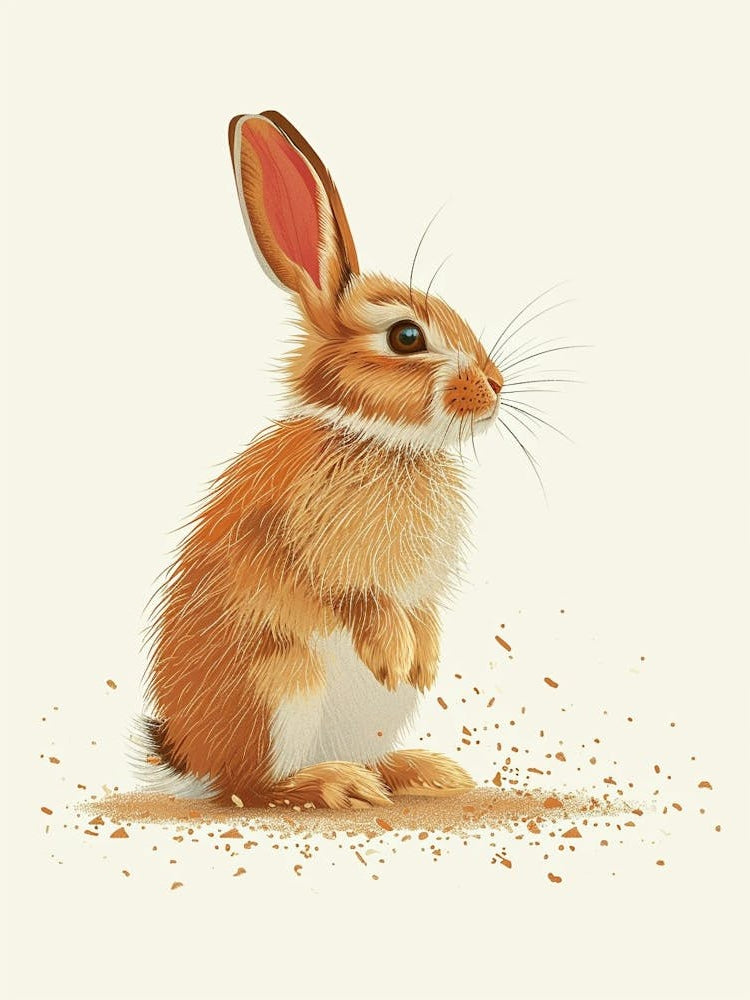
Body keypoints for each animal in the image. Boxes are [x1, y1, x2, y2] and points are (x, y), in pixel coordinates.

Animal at [139, 110, 504, 808]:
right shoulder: (322, 556)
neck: (383, 440)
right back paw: (332, 786)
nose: (495, 388)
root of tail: (189, 757)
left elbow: (422, 612)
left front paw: (423, 658)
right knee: (251, 788)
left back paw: (417, 773)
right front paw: (394, 654)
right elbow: (357, 602)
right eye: (406, 336)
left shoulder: (421, 588)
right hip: (280, 689)